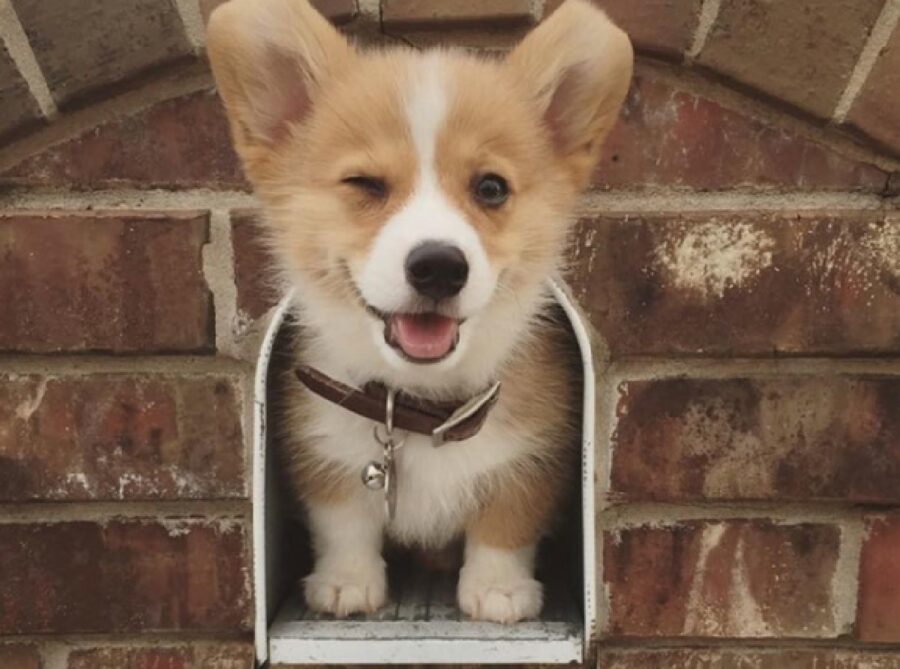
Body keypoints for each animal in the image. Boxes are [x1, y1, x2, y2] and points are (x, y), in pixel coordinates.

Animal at [209, 0, 632, 624]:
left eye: (490, 188)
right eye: (364, 183)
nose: (438, 267)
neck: (420, 404)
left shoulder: (531, 462)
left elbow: (505, 524)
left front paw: (499, 591)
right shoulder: (324, 457)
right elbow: (344, 523)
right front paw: (346, 583)